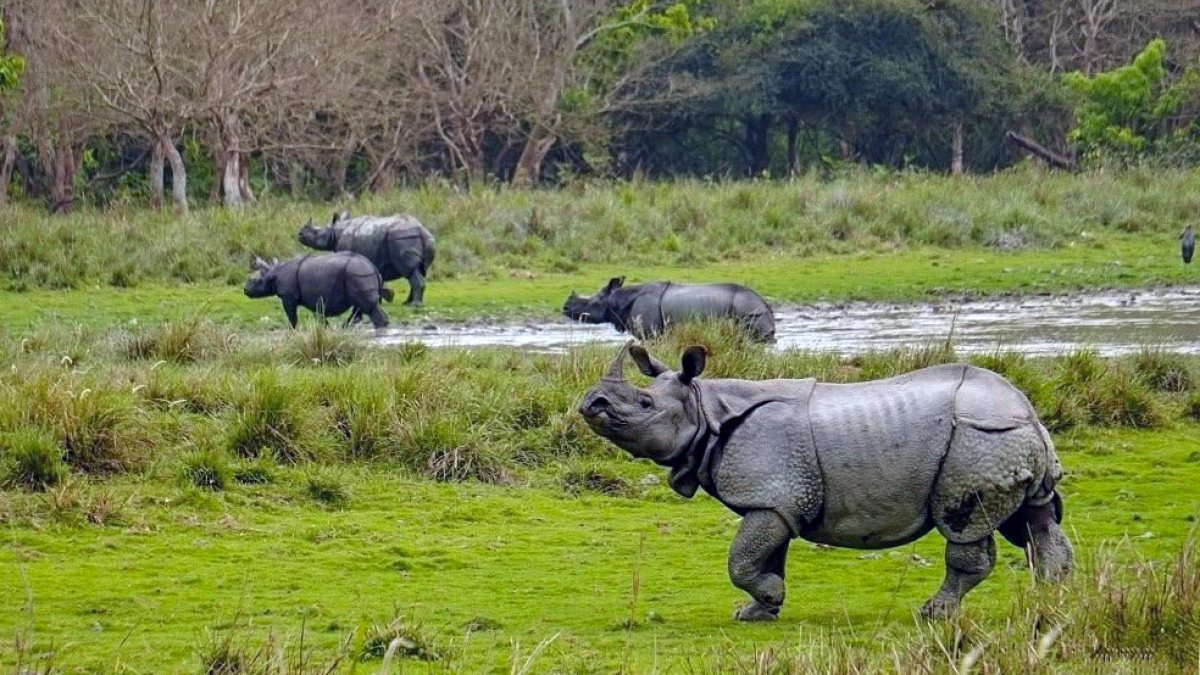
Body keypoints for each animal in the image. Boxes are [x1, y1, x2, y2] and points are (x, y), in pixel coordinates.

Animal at [244, 253, 393, 328]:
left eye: (257, 282)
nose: (245, 290)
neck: (273, 273)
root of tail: (373, 268)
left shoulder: (288, 295)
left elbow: (292, 317)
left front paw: (292, 330)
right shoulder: (313, 298)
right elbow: (319, 315)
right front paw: (327, 328)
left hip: (358, 273)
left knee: (368, 307)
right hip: (359, 275)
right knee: (359, 306)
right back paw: (346, 326)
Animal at [298, 213, 436, 306]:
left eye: (316, 232)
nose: (300, 234)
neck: (335, 231)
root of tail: (421, 230)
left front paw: (386, 296)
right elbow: (379, 280)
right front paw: (385, 297)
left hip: (402, 238)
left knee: (410, 271)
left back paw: (414, 305)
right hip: (421, 239)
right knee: (417, 271)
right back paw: (407, 303)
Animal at [563, 277, 776, 342]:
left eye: (592, 304)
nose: (565, 308)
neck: (617, 300)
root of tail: (765, 304)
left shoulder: (651, 333)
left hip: (750, 311)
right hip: (753, 311)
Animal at [578, 342, 1073, 621]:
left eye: (643, 404)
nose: (590, 403)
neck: (705, 410)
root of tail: (1029, 412)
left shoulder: (772, 496)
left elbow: (740, 560)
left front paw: (765, 600)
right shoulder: (776, 499)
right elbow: (765, 556)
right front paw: (759, 611)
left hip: (979, 439)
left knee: (966, 527)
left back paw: (934, 615)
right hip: (1003, 441)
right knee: (1033, 521)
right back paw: (1049, 602)